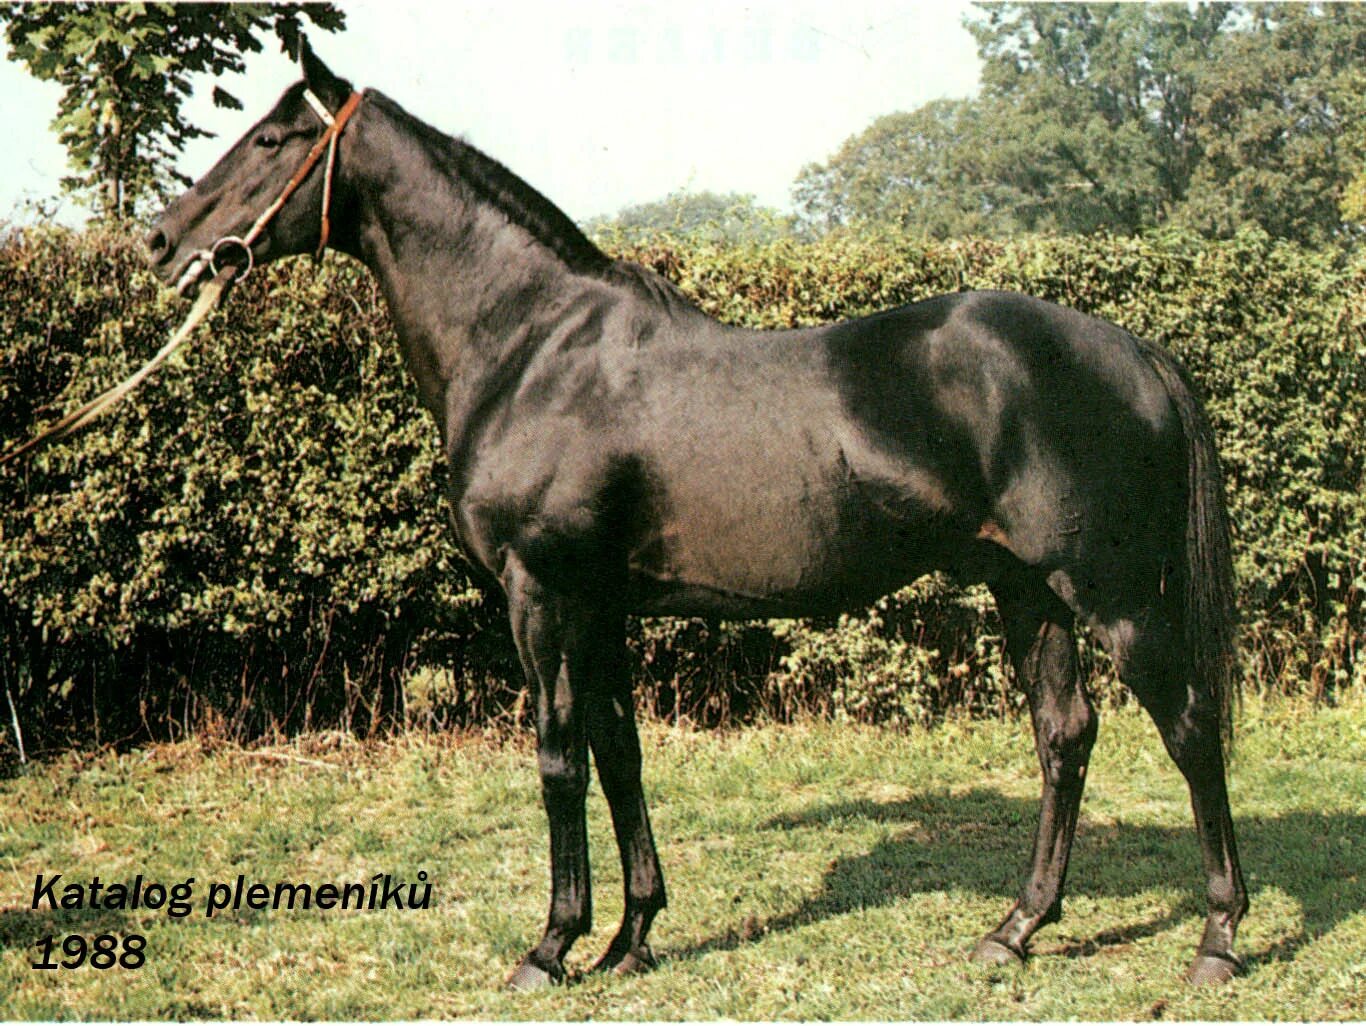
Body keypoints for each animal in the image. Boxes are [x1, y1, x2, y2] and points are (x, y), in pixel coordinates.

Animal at [149, 44, 1251, 989]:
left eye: (272, 139)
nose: (162, 241)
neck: (530, 347)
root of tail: (1130, 349)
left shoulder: (541, 595)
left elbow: (557, 757)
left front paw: (551, 946)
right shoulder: (599, 605)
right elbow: (618, 751)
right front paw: (631, 937)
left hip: (1109, 596)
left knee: (1191, 727)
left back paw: (1217, 938)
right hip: (1028, 591)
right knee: (1064, 736)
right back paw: (1014, 930)